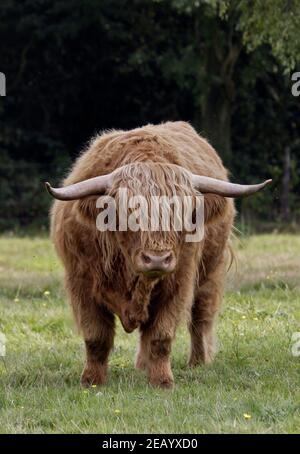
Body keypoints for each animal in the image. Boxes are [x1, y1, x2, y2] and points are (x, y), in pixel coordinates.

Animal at [47, 122, 272, 388]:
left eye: (183, 212)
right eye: (127, 211)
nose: (157, 259)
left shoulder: (179, 283)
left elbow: (160, 336)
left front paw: (162, 381)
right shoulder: (81, 282)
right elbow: (96, 336)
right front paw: (91, 381)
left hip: (210, 272)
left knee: (200, 317)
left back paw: (197, 362)